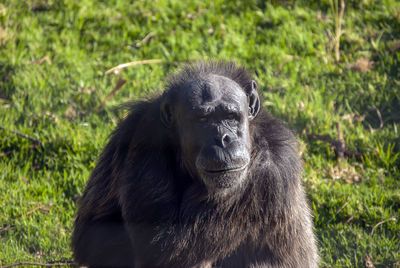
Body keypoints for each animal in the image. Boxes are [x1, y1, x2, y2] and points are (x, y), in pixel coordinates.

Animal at [70, 61, 318, 268]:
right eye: (203, 120)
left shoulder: (266, 174)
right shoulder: (129, 128)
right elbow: (93, 232)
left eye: (230, 116)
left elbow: (165, 244)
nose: (223, 139)